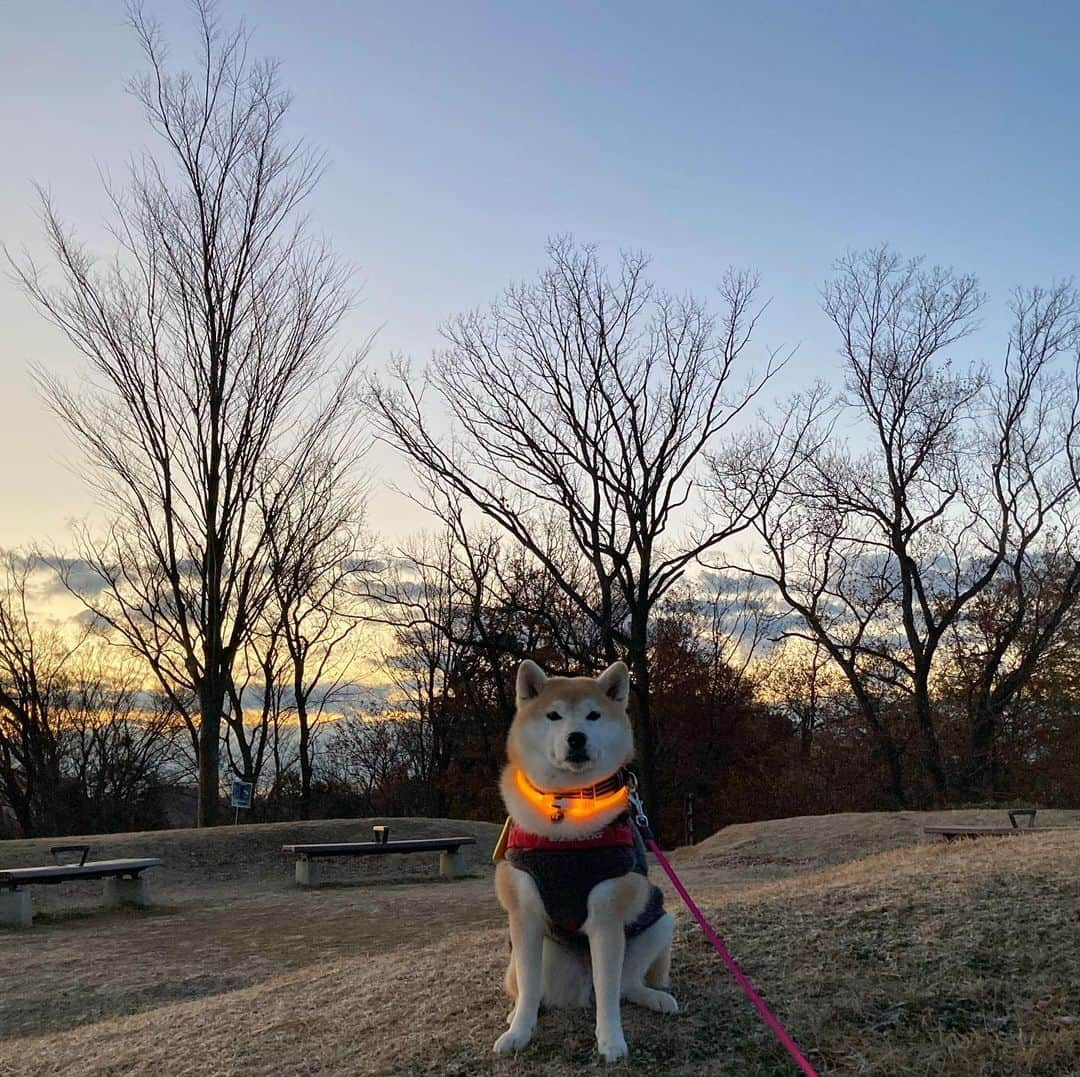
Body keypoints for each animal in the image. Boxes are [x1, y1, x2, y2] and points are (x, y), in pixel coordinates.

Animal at [494, 656, 678, 1058]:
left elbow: (609, 993)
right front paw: (519, 1033)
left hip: (658, 922)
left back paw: (655, 998)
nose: (576, 737)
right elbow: (528, 988)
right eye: (554, 716)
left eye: (593, 715)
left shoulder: (607, 915)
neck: (569, 809)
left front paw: (611, 1041)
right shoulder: (525, 916)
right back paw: (515, 1014)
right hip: (541, 955)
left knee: (624, 986)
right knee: (530, 988)